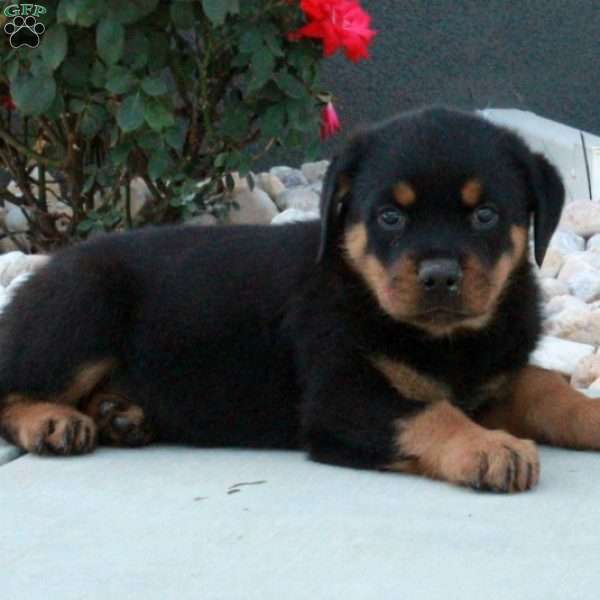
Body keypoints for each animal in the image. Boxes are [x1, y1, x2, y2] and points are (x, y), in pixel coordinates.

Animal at [0, 108, 596, 492]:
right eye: (390, 216)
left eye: (486, 215)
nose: (440, 276)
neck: (447, 341)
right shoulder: (342, 397)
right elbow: (431, 413)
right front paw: (490, 448)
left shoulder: (492, 379)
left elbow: (546, 386)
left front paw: (586, 414)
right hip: (82, 306)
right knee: (15, 386)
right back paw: (53, 422)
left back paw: (119, 415)